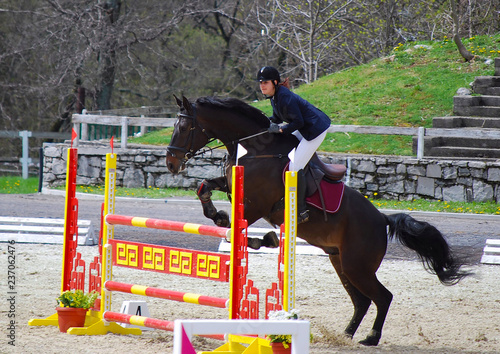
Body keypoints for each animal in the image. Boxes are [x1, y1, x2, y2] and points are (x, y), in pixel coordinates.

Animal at [166, 94, 470, 346]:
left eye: (184, 128)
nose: (171, 164)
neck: (254, 148)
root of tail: (382, 218)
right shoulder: (233, 187)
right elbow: (204, 188)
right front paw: (215, 214)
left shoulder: (257, 205)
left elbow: (233, 232)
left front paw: (266, 238)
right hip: (340, 261)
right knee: (362, 301)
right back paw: (345, 335)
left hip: (357, 265)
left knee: (383, 297)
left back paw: (371, 338)